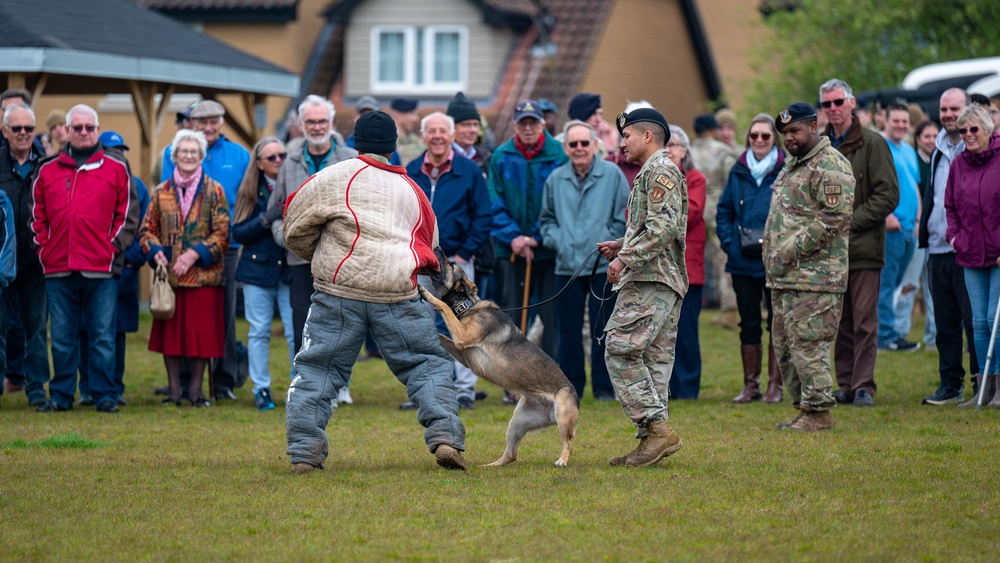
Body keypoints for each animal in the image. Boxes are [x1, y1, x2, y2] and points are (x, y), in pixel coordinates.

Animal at [420, 249, 580, 470]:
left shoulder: (462, 337)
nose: (437, 249)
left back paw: (562, 460)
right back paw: (490, 466)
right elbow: (442, 334)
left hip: (563, 418)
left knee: (569, 443)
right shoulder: (462, 352)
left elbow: (443, 305)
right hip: (517, 423)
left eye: (451, 263)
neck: (467, 306)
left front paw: (427, 295)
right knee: (511, 455)